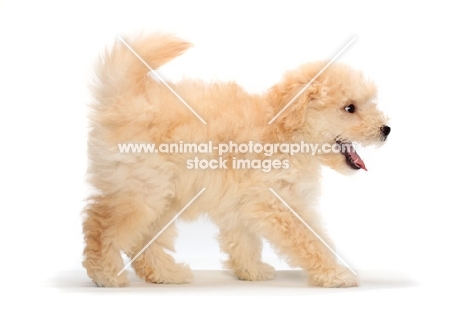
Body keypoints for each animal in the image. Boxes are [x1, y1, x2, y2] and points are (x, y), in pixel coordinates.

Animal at [82, 33, 390, 288]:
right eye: (350, 108)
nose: (386, 129)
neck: (285, 132)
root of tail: (123, 101)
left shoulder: (242, 201)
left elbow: (244, 240)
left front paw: (251, 270)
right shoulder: (278, 201)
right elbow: (309, 238)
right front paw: (335, 274)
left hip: (163, 196)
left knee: (145, 240)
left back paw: (166, 274)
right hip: (143, 190)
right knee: (101, 224)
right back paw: (105, 274)